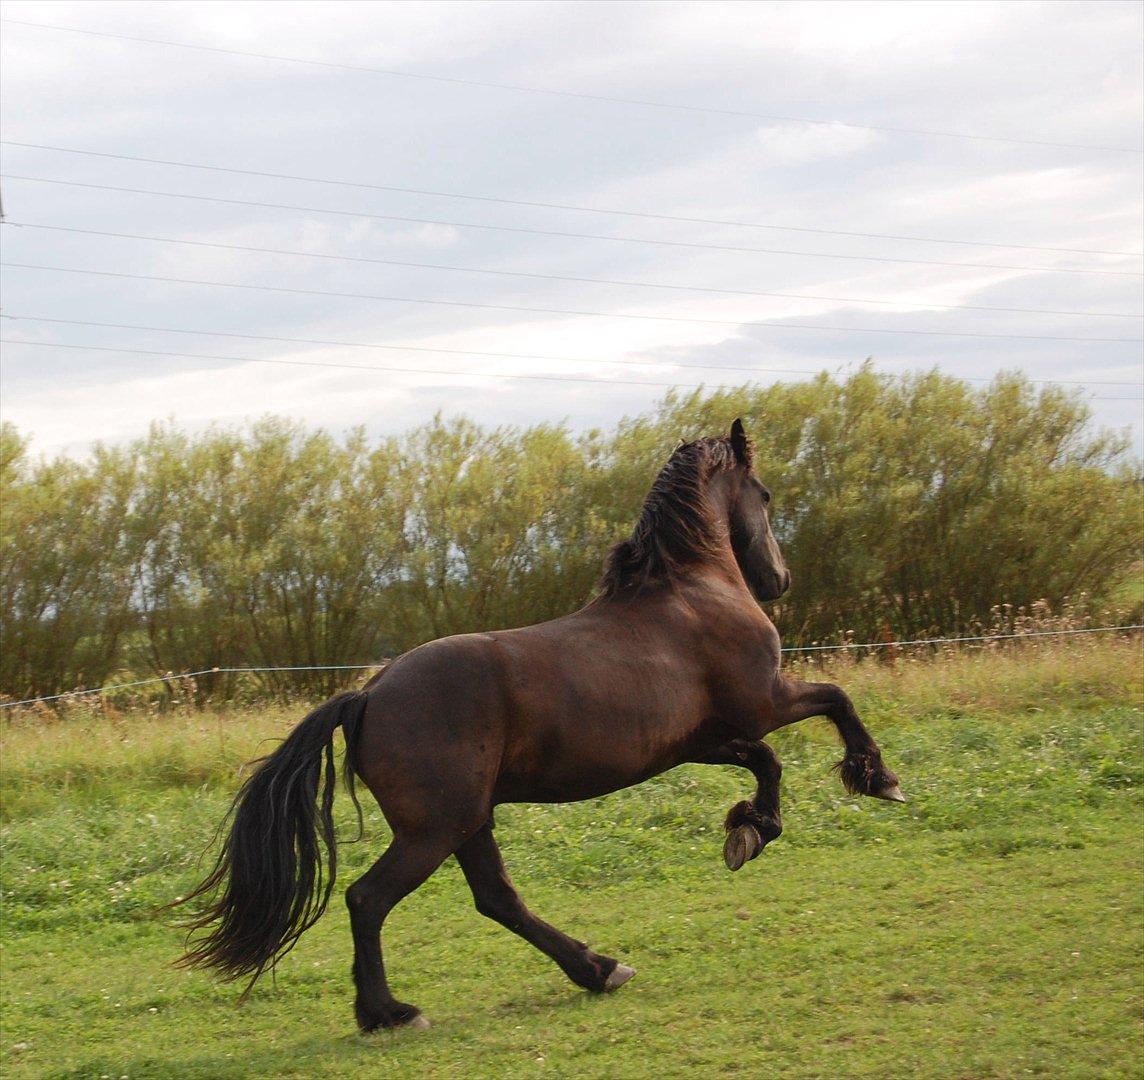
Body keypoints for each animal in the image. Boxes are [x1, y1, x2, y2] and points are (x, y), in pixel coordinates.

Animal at [173, 418, 901, 1029]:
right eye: (767, 494)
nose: (780, 580)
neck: (691, 592)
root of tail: (369, 694)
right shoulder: (764, 701)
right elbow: (836, 700)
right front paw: (877, 780)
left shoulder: (699, 741)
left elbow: (765, 762)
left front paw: (748, 831)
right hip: (436, 827)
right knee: (369, 899)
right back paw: (390, 1013)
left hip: (469, 820)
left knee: (496, 898)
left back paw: (599, 969)